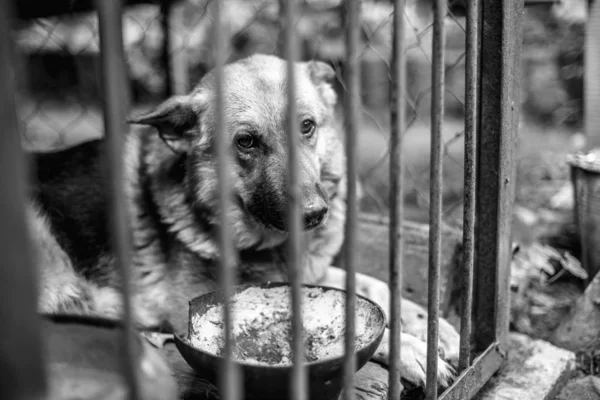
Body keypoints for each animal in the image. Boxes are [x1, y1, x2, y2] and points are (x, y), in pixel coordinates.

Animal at [28, 53, 460, 390]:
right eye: (247, 142)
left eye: (307, 126)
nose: (314, 214)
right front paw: (412, 348)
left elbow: (375, 287)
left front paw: (434, 328)